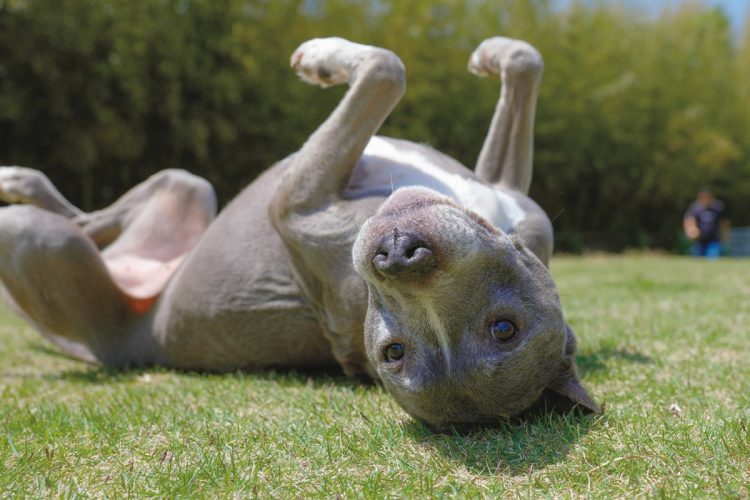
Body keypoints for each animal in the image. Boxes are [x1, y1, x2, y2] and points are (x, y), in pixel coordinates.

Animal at [0, 35, 600, 428]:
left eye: (503, 329)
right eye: (394, 353)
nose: (397, 253)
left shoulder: (295, 201)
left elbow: (387, 69)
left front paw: (320, 57)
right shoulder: (513, 200)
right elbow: (525, 63)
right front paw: (492, 54)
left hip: (37, 239)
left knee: (55, 226)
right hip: (186, 190)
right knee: (108, 209)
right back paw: (23, 177)